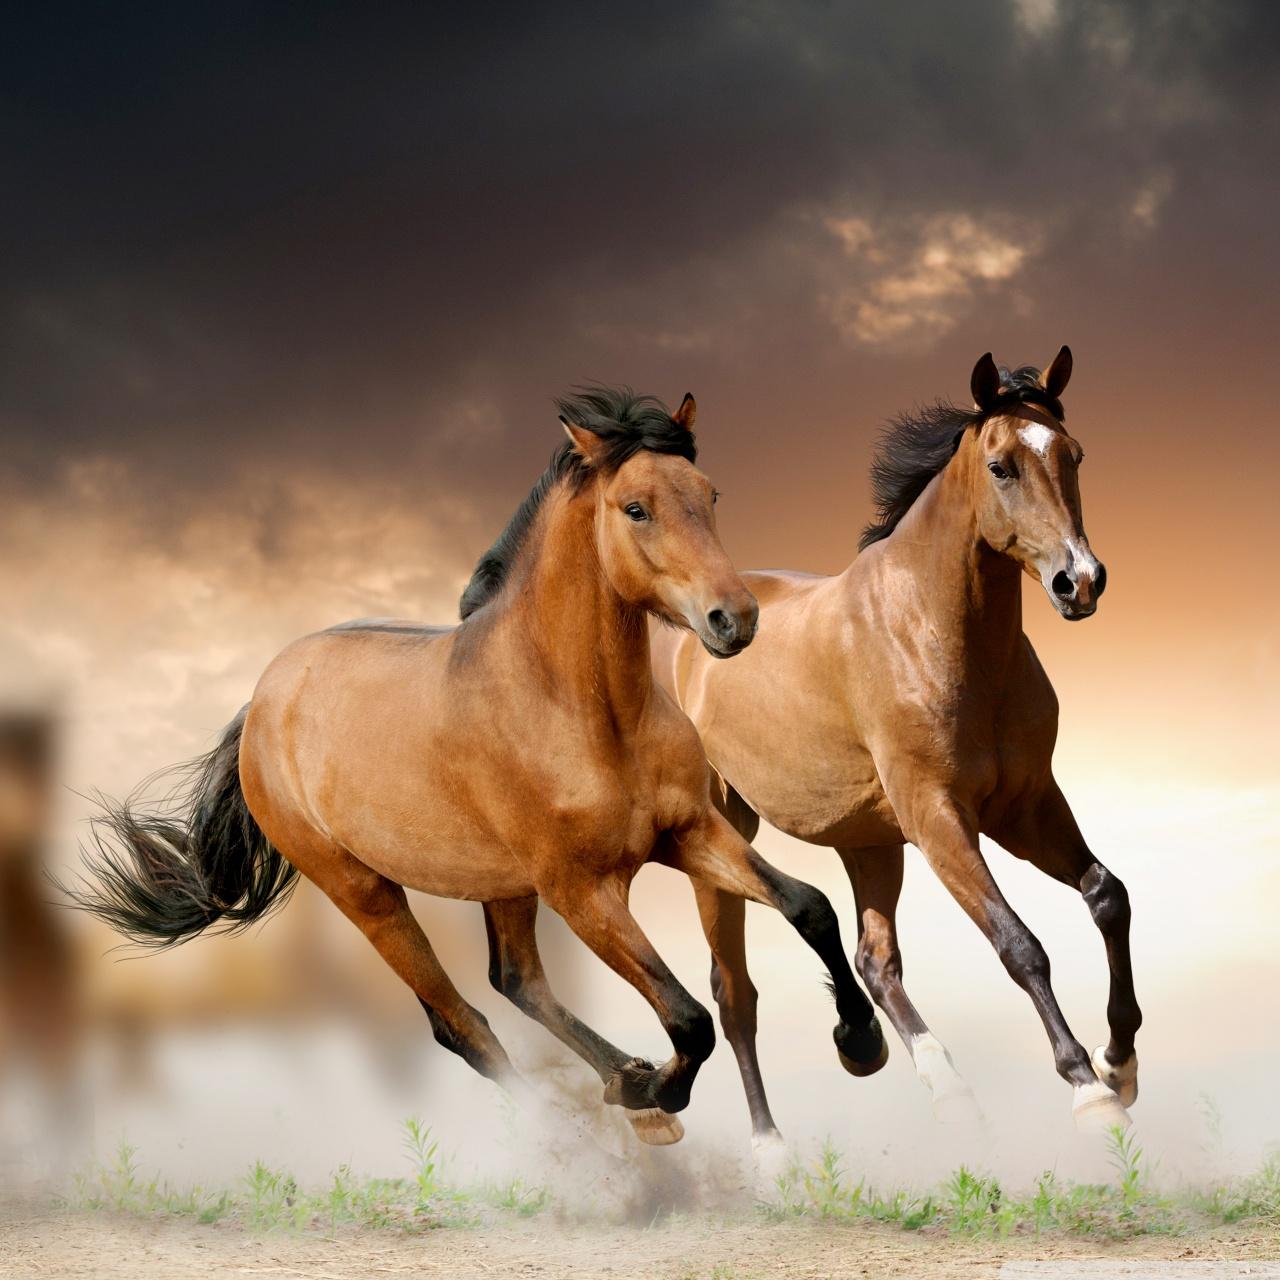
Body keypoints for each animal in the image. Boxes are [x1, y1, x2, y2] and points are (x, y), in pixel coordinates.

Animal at [69, 387, 885, 1146]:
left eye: (710, 494)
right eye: (636, 509)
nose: (734, 620)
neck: (582, 710)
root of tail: (263, 703)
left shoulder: (688, 832)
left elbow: (809, 906)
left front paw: (860, 1043)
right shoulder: (583, 891)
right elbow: (688, 1019)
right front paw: (659, 1091)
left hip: (502, 885)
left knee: (516, 981)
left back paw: (624, 1083)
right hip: (367, 893)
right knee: (462, 1024)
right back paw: (595, 1128)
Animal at [658, 349, 1140, 1144]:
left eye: (1073, 455)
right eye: (1002, 466)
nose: (1081, 581)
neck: (934, 632)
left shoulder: (1026, 806)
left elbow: (1108, 896)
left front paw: (1120, 1061)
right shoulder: (939, 817)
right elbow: (1019, 944)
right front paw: (1086, 1087)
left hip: (869, 842)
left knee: (875, 961)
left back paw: (936, 1083)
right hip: (723, 834)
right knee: (735, 995)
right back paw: (771, 1148)